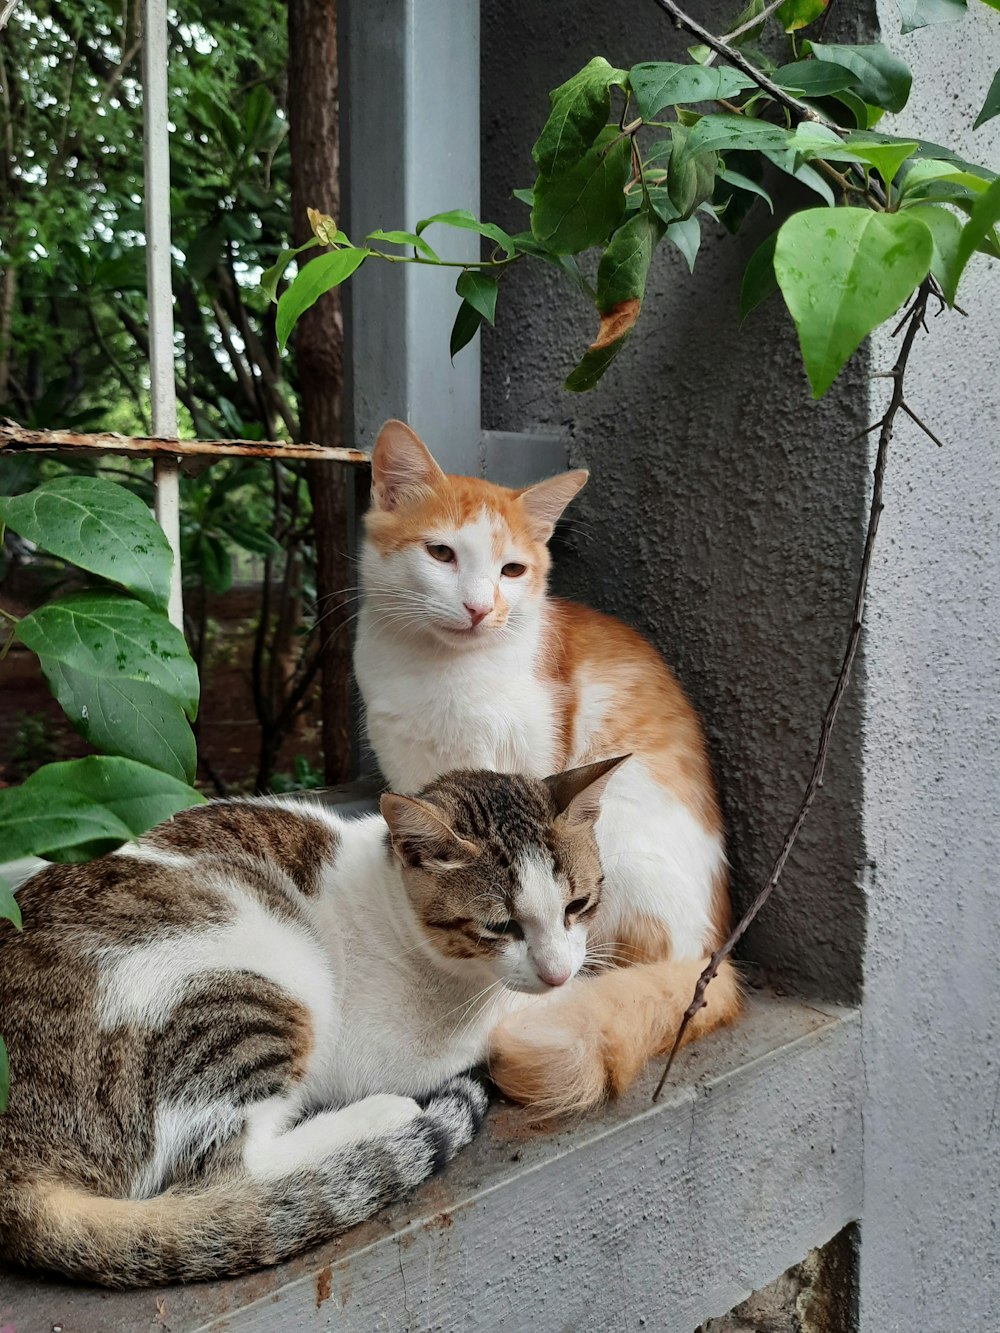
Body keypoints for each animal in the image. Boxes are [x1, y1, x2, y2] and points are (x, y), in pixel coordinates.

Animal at [0, 762, 624, 1290]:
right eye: (500, 926)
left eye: (578, 905)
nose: (556, 970)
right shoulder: (397, 1044)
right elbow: (506, 1011)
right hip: (257, 980)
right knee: (229, 1171)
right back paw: (383, 1116)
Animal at [357, 421, 746, 1119]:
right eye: (441, 554)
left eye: (513, 569)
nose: (481, 608)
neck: (438, 673)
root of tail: (714, 954)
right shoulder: (409, 778)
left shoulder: (531, 763)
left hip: (619, 834)